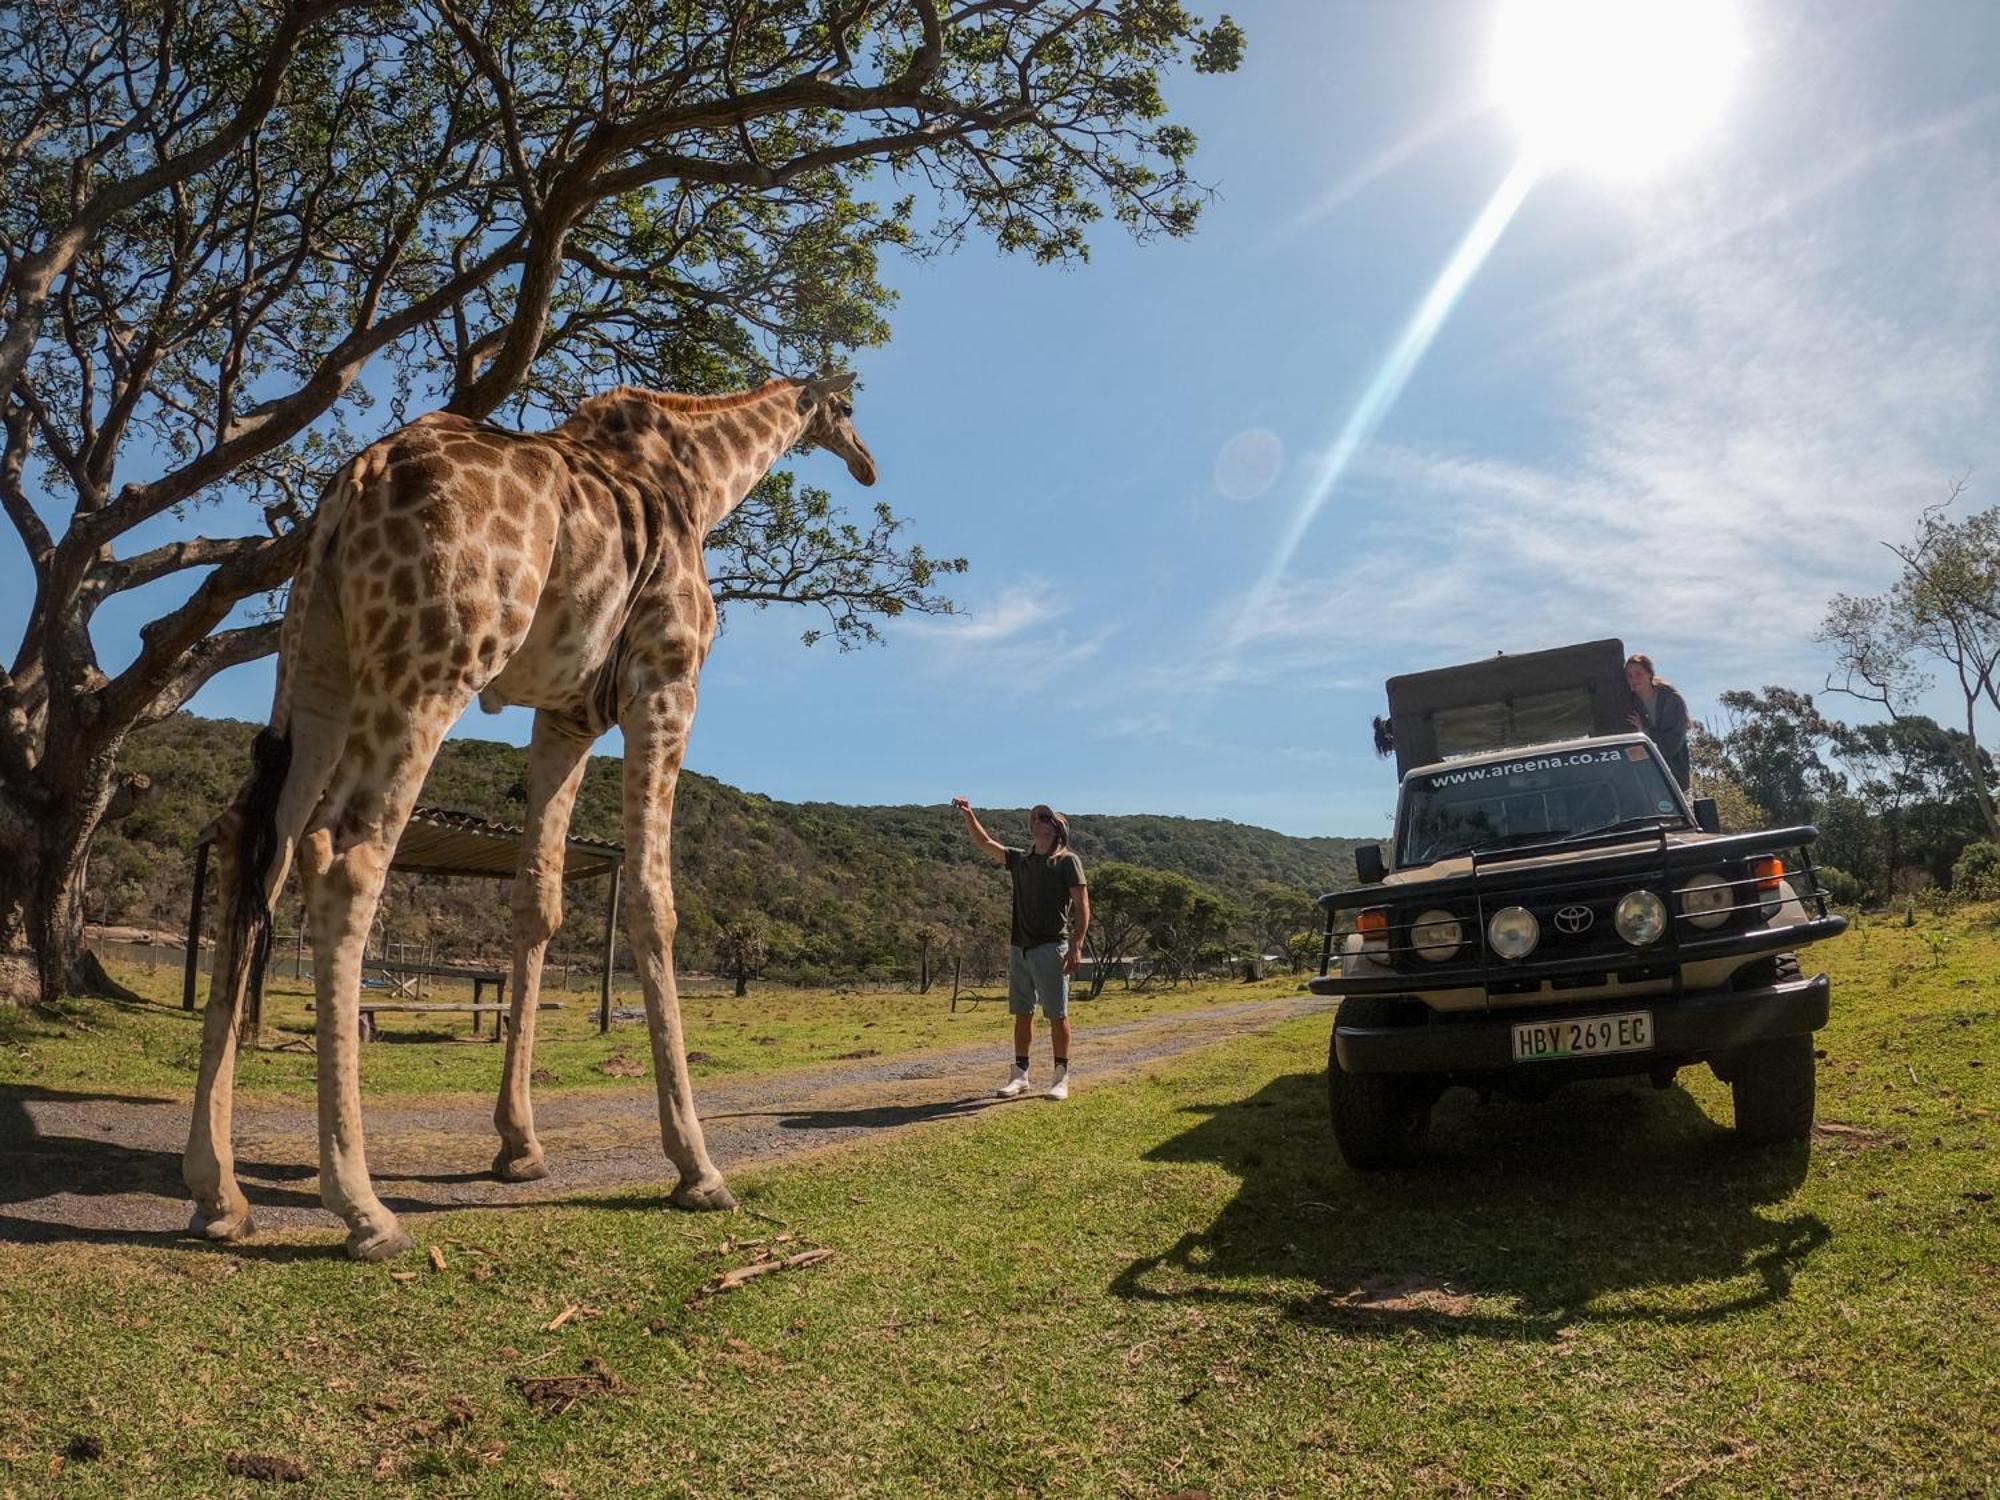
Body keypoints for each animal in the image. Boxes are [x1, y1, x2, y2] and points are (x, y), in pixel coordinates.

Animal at [184, 374, 872, 1256]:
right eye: (848, 410)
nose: (866, 464)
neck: (699, 480)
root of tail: (355, 481)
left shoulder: (568, 714)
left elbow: (536, 901)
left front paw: (519, 1145)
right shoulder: (665, 682)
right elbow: (653, 904)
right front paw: (696, 1166)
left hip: (316, 657)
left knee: (253, 846)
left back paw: (217, 1191)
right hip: (434, 659)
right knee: (343, 851)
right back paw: (363, 1209)